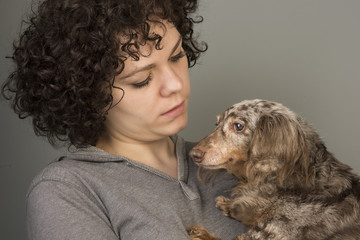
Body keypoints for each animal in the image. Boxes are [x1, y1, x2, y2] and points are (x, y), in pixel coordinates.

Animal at [187, 99, 360, 240]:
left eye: (238, 126)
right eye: (216, 124)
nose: (193, 154)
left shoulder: (273, 233)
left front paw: (201, 233)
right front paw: (231, 205)